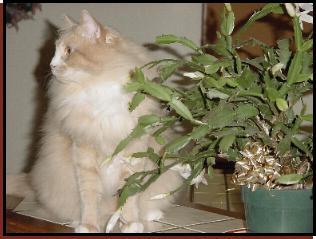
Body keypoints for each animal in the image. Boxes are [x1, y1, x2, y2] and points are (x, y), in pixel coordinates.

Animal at [7, 10, 183, 232]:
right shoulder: (84, 153)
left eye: (68, 51)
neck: (99, 87)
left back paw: (149, 215)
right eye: (55, 52)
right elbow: (89, 196)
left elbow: (130, 195)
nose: (51, 66)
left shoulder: (133, 153)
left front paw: (130, 223)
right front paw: (89, 225)